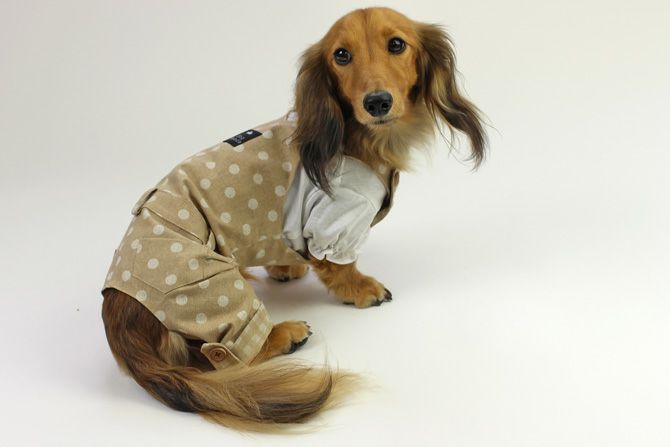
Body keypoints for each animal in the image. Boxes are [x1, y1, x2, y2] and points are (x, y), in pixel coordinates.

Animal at [101, 7, 486, 431]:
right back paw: (284, 335)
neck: (352, 135)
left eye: (397, 44)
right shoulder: (334, 220)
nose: (377, 102)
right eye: (341, 55)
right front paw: (362, 289)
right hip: (208, 285)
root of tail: (118, 315)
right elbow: (340, 266)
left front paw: (286, 268)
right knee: (226, 353)